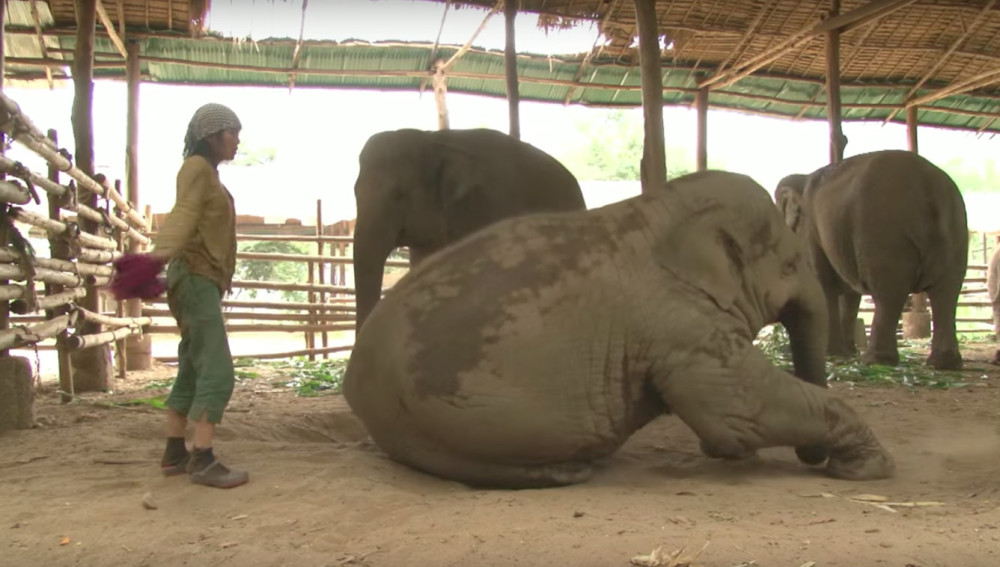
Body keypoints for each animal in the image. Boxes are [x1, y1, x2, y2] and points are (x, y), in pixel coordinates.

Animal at [340, 169, 896, 488]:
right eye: (789, 265)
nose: (814, 460)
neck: (663, 209)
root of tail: (353, 382)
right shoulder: (678, 318)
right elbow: (738, 410)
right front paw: (869, 470)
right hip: (462, 413)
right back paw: (570, 470)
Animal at [772, 151, 968, 370]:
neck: (802, 178)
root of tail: (930, 186)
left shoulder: (811, 231)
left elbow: (824, 284)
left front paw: (832, 354)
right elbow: (849, 293)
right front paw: (847, 353)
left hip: (883, 235)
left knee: (889, 293)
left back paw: (875, 360)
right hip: (957, 232)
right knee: (947, 292)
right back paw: (943, 364)